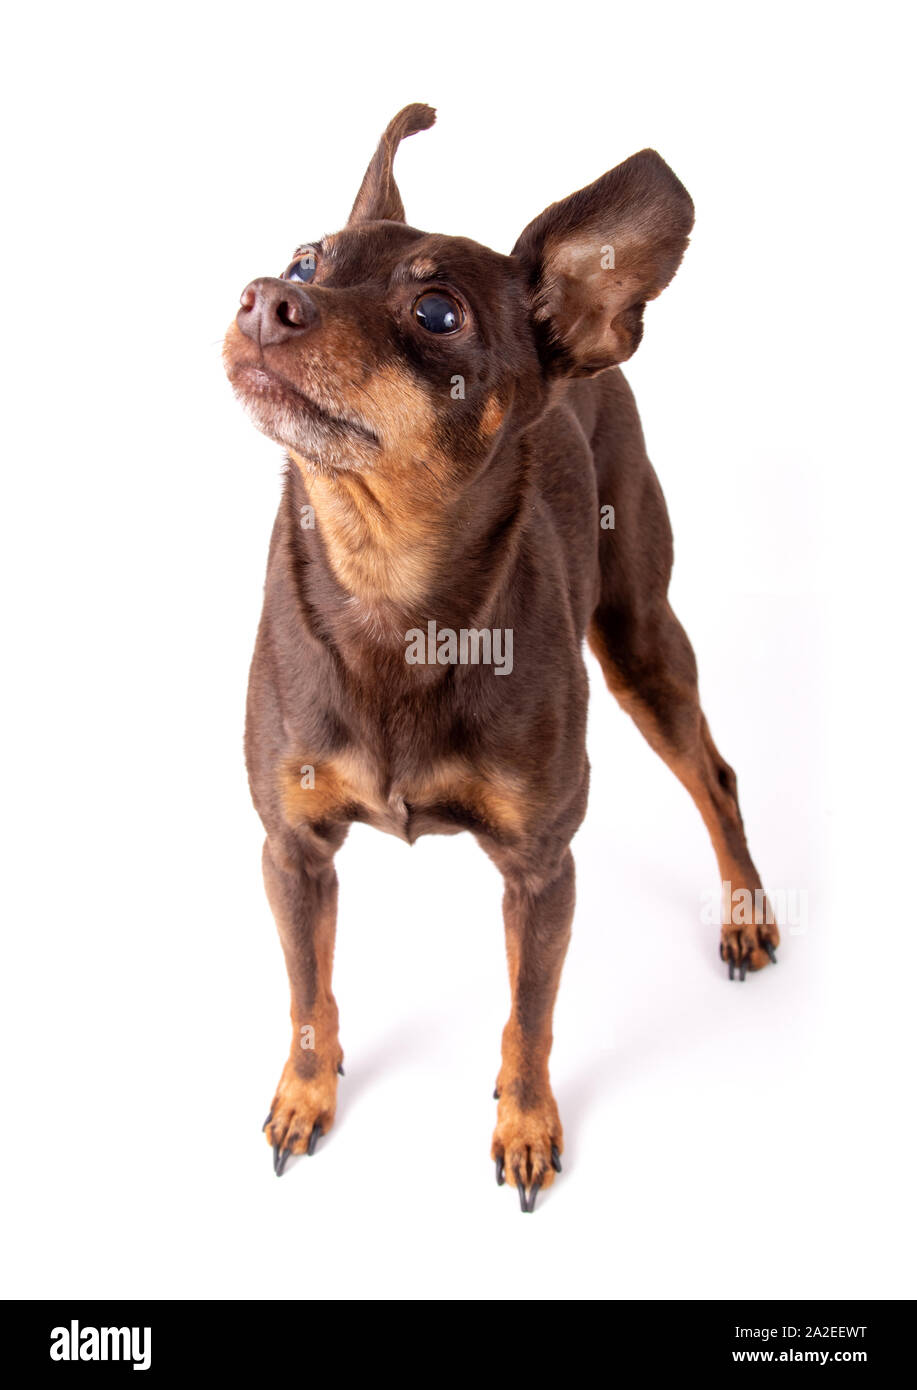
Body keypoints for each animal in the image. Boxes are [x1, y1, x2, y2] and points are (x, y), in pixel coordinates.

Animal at [222, 102, 772, 1212]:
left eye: (437, 312)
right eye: (302, 259)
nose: (264, 298)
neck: (389, 588)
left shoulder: (540, 868)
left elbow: (530, 1016)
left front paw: (525, 1126)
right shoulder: (291, 850)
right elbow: (308, 991)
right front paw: (306, 1096)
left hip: (641, 640)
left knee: (715, 776)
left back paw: (741, 912)